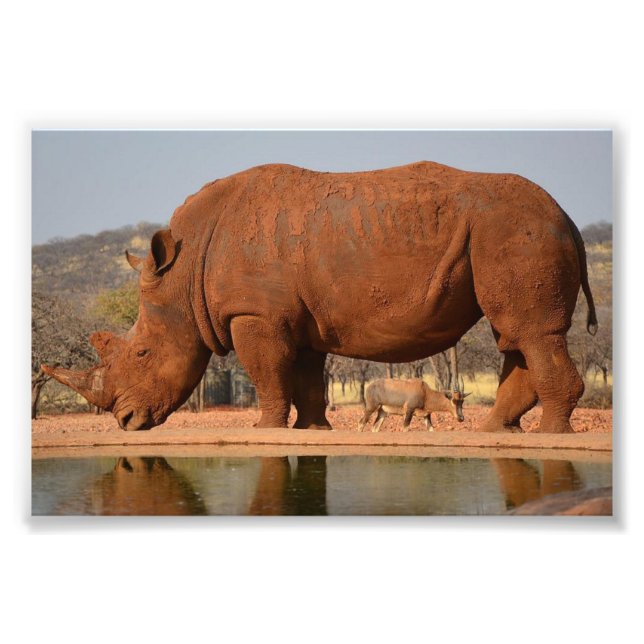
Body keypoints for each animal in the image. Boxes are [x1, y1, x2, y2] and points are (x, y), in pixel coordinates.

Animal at [42, 161, 597, 433]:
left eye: (141, 353)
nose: (126, 423)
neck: (185, 267)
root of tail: (569, 217)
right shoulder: (296, 318)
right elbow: (306, 377)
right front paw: (315, 429)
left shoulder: (255, 313)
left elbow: (267, 374)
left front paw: (266, 429)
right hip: (507, 234)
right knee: (515, 337)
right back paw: (497, 433)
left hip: (516, 231)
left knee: (532, 333)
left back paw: (549, 437)